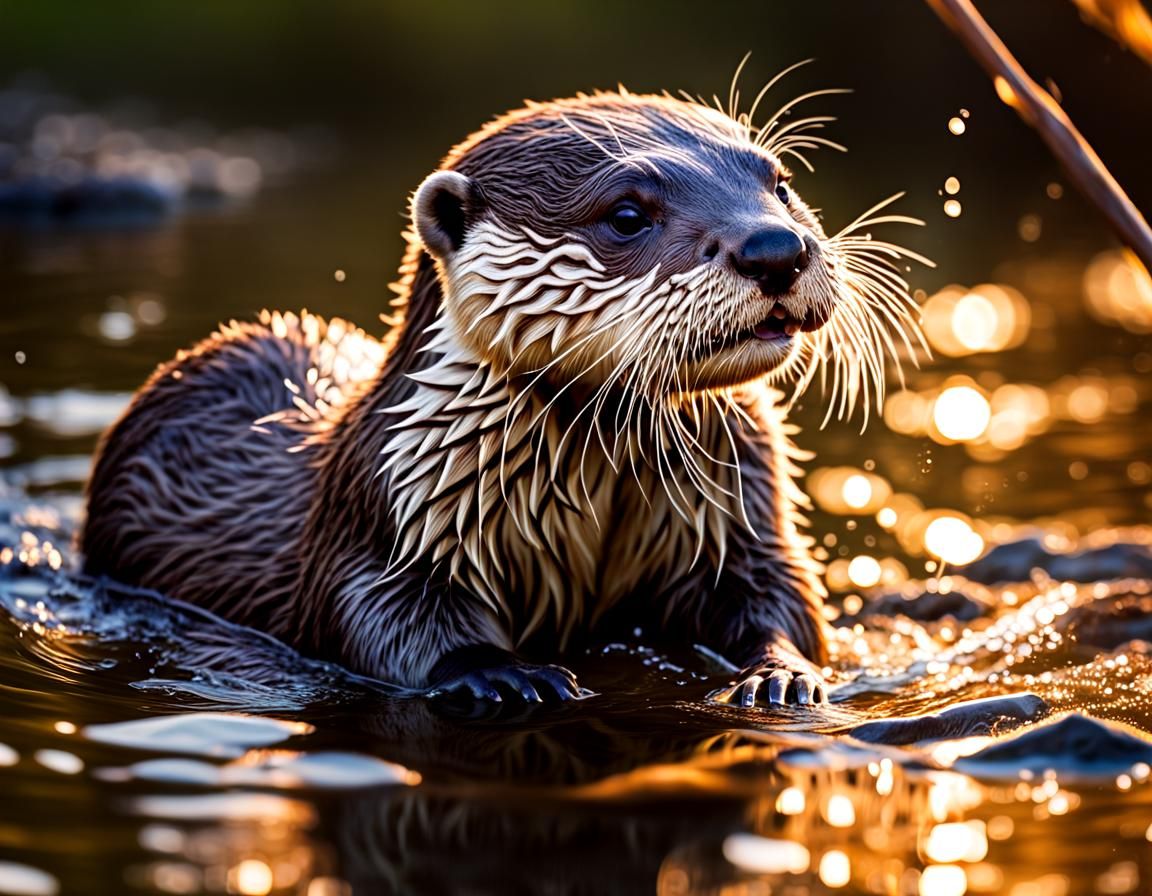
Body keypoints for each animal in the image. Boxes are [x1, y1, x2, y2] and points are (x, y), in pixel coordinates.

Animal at [82, 86, 922, 707]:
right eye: (627, 213)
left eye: (779, 184)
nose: (775, 248)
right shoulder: (382, 507)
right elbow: (383, 616)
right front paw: (504, 673)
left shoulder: (739, 513)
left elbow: (783, 596)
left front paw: (781, 674)